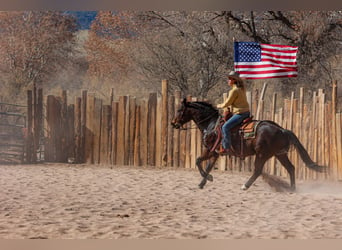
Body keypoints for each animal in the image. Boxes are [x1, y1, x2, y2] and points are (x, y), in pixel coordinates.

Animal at [171, 97, 326, 189]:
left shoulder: (209, 150)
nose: (173, 123)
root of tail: (282, 130)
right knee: (291, 168)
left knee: (258, 171)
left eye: (179, 110)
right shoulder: (214, 152)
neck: (211, 124)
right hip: (279, 154)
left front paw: (208, 178)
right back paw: (292, 189)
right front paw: (203, 182)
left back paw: (245, 185)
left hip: (262, 154)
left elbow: (198, 161)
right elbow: (207, 166)